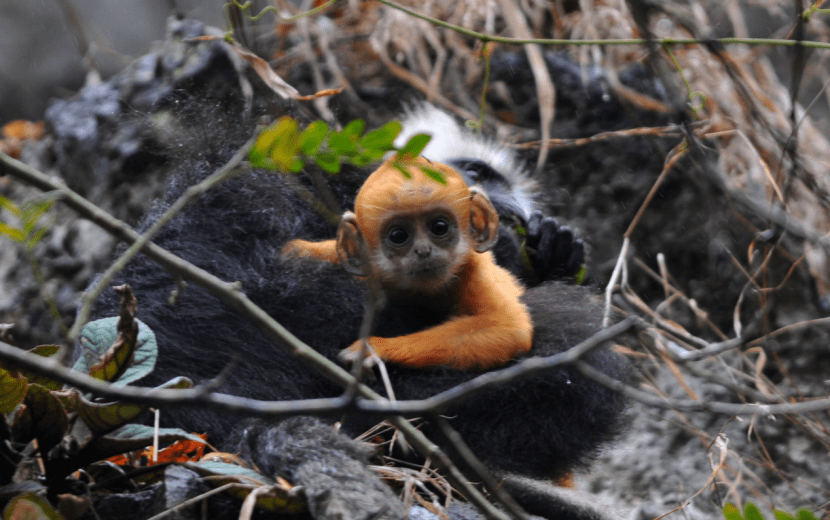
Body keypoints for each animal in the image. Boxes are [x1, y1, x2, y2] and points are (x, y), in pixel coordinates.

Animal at [282, 156, 536, 372]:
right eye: (398, 236)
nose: (423, 251)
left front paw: (377, 348)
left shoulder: (473, 269)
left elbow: (507, 326)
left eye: (439, 227)